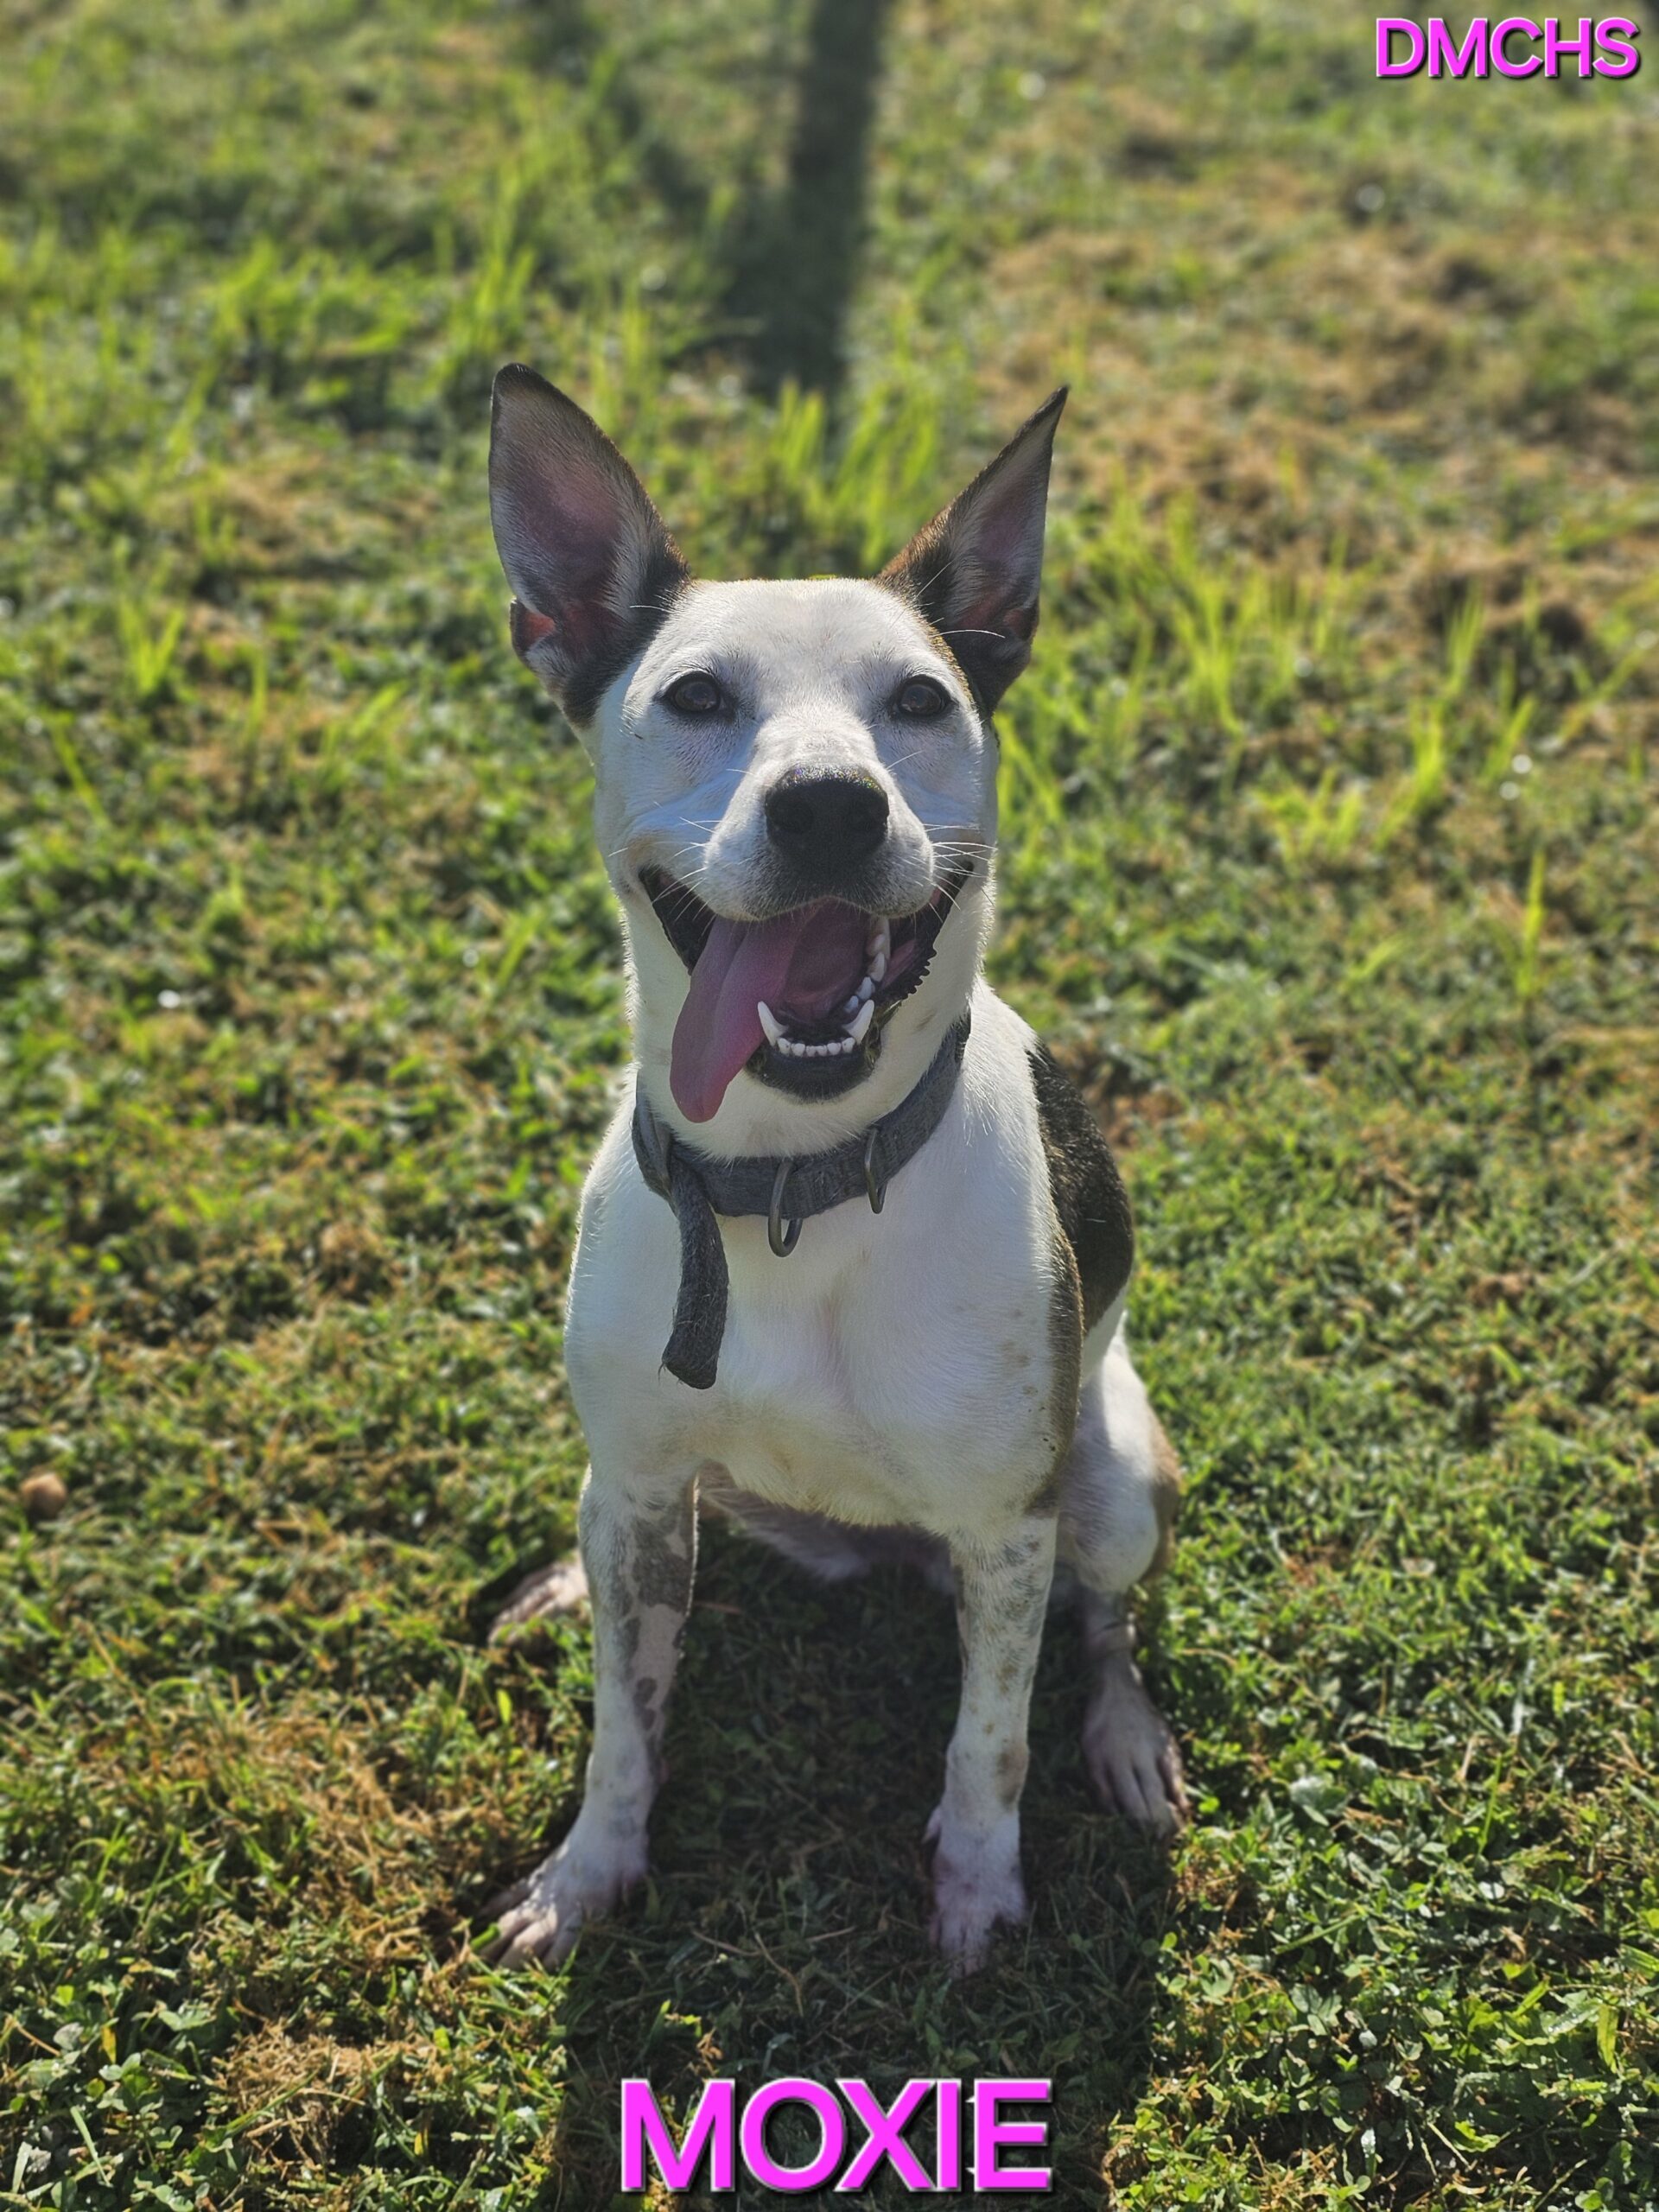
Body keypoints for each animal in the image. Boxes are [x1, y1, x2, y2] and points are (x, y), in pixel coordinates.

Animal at [486, 372, 1185, 1981]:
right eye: (696, 697)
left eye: (920, 702)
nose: (827, 806)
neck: (789, 1189)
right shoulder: (639, 1480)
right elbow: (625, 1723)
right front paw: (592, 1867)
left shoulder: (1009, 1533)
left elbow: (989, 1741)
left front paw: (979, 1896)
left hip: (1118, 1482)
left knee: (1107, 1627)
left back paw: (1126, 1740)